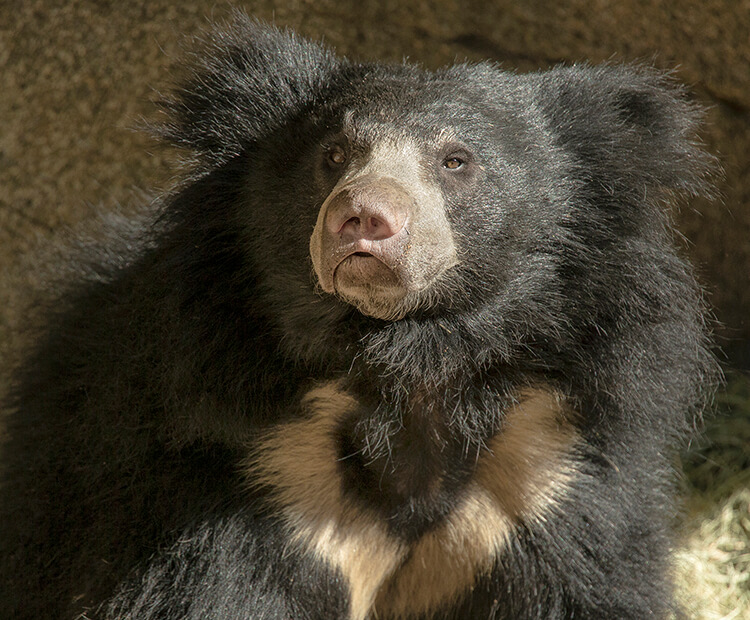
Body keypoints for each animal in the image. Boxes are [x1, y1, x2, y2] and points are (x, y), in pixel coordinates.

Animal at [0, 14, 716, 620]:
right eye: (336, 155)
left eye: (456, 161)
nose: (363, 216)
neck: (410, 365)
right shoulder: (248, 476)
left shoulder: (544, 478)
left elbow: (584, 588)